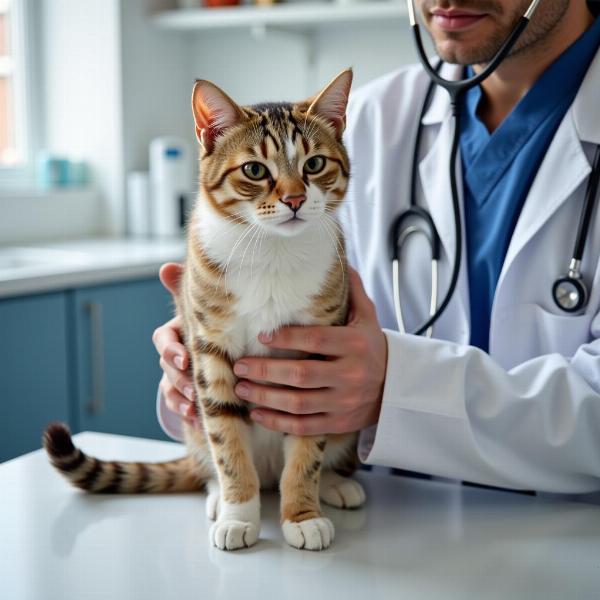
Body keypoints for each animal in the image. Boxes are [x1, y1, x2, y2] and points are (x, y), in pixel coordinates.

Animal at [44, 68, 364, 552]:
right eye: (255, 170)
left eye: (314, 165)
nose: (293, 200)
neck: (272, 251)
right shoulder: (209, 348)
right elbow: (227, 443)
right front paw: (238, 514)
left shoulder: (318, 360)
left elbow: (308, 448)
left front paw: (303, 514)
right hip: (193, 418)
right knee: (210, 458)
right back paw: (219, 497)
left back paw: (335, 484)